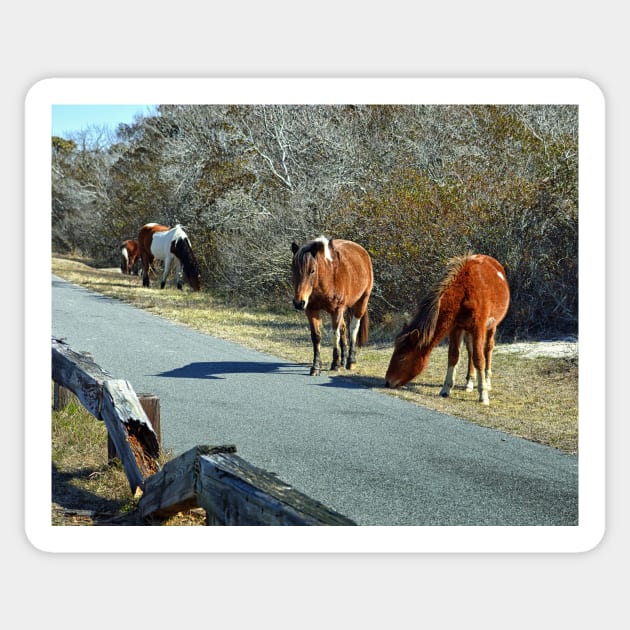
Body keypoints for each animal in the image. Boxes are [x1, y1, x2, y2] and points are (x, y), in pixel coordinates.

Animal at [292, 237, 376, 376]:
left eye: (312, 270)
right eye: (293, 270)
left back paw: (350, 361)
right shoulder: (311, 310)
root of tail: (362, 251)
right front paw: (316, 366)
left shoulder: (336, 310)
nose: (299, 302)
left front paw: (335, 364)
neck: (328, 276)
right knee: (343, 328)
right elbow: (316, 336)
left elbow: (334, 335)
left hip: (361, 302)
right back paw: (343, 360)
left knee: (353, 328)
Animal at [382, 254, 512, 408]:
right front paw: (446, 389)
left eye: (402, 356)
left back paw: (487, 381)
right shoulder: (455, 329)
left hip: (491, 327)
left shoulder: (478, 329)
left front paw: (483, 395)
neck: (464, 291)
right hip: (467, 331)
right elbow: (453, 356)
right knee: (470, 351)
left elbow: (479, 359)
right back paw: (469, 382)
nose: (388, 382)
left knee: (487, 349)